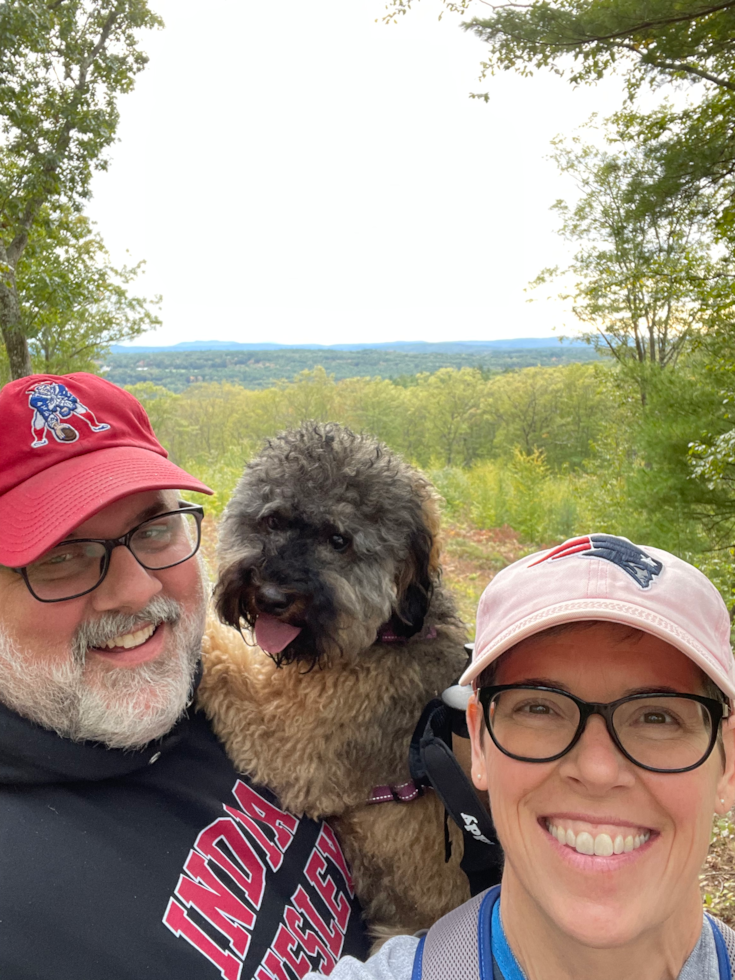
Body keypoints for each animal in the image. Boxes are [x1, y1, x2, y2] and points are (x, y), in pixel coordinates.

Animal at [196, 424, 472, 936]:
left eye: (339, 540)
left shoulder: (293, 748)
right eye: (272, 521)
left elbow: (221, 658)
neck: (382, 637)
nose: (271, 595)